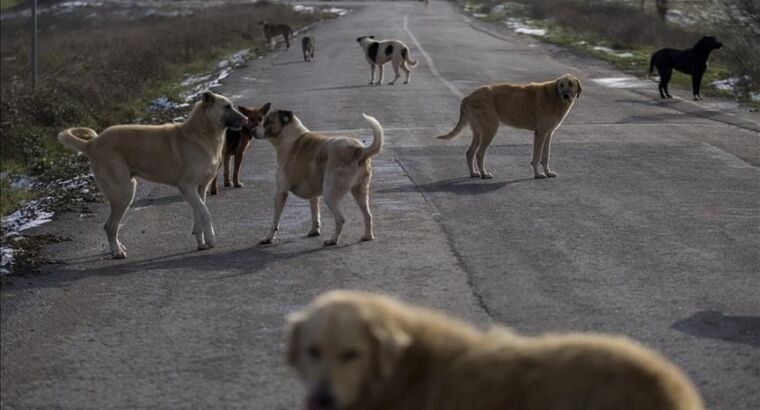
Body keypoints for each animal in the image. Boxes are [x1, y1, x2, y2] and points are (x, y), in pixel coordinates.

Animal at [60, 93, 249, 260]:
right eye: (227, 107)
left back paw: (119, 248)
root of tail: (92, 143)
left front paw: (201, 242)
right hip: (123, 193)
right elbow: (206, 213)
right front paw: (211, 239)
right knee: (109, 227)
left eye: (233, 106)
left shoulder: (199, 189)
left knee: (112, 226)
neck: (202, 133)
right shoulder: (187, 187)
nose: (246, 120)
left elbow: (199, 214)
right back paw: (117, 252)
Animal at [254, 108, 382, 247]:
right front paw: (314, 231)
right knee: (368, 215)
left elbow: (275, 221)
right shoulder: (313, 195)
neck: (289, 135)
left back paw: (333, 240)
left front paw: (268, 238)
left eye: (268, 121)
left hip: (330, 194)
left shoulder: (281, 192)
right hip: (360, 192)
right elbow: (315, 213)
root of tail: (358, 149)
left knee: (340, 219)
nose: (252, 131)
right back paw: (368, 236)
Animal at [434, 74, 580, 179]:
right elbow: (537, 157)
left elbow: (545, 156)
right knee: (480, 154)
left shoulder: (548, 134)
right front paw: (538, 174)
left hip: (479, 132)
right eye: (561, 85)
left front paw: (548, 172)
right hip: (490, 130)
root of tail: (469, 96)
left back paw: (474, 173)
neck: (555, 97)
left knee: (470, 152)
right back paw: (484, 174)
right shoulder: (541, 133)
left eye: (571, 84)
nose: (565, 95)